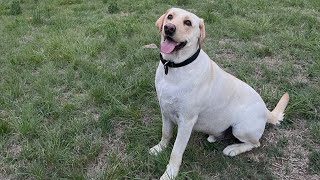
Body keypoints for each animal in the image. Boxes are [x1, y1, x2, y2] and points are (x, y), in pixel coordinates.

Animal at [150, 7, 290, 179]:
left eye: (188, 22)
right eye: (170, 16)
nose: (169, 28)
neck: (174, 67)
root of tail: (266, 111)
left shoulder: (186, 121)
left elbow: (176, 152)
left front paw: (170, 173)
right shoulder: (165, 110)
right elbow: (166, 133)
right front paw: (159, 148)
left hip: (241, 128)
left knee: (255, 143)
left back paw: (233, 149)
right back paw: (214, 137)